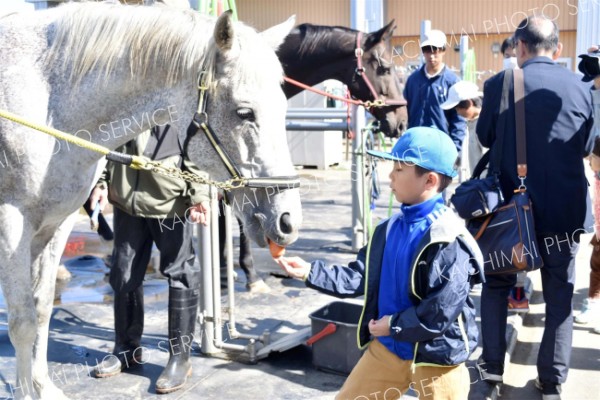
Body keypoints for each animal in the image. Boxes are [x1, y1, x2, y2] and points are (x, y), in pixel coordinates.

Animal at [0, 3, 300, 400]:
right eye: (244, 112)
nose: (287, 219)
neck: (46, 100)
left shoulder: (54, 225)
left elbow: (42, 309)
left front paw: (41, 388)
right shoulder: (12, 223)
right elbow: (22, 322)